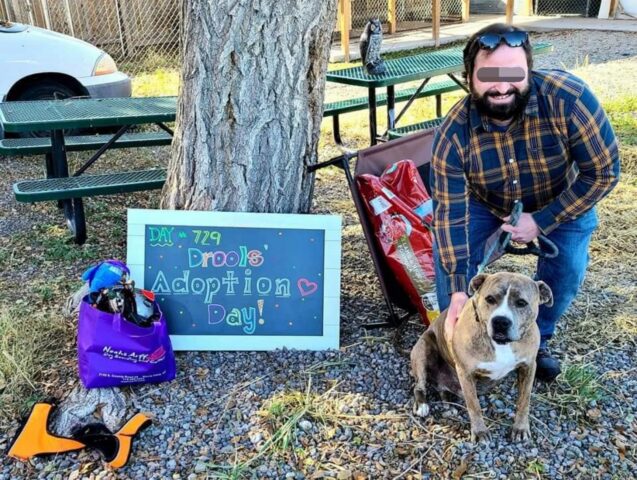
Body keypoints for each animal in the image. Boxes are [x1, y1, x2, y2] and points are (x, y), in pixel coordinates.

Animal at [408, 272, 552, 440]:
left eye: (521, 303)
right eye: (490, 299)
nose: (500, 321)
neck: (501, 344)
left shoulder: (528, 366)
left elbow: (524, 400)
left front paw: (520, 428)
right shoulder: (465, 372)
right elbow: (474, 405)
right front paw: (480, 431)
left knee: (442, 389)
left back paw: (449, 404)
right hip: (423, 349)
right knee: (418, 385)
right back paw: (422, 405)